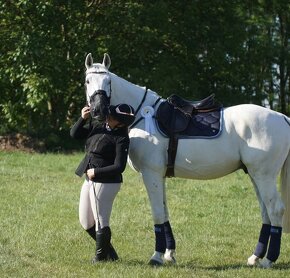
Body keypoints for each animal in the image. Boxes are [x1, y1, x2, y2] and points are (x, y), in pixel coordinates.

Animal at [82, 52, 290, 270]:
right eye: (88, 81)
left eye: (108, 81)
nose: (98, 110)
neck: (141, 115)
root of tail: (282, 117)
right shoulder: (159, 176)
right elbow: (164, 212)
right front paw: (169, 254)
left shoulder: (151, 173)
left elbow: (157, 213)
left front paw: (156, 256)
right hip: (254, 175)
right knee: (266, 212)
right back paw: (255, 257)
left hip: (264, 176)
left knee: (275, 210)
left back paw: (268, 260)